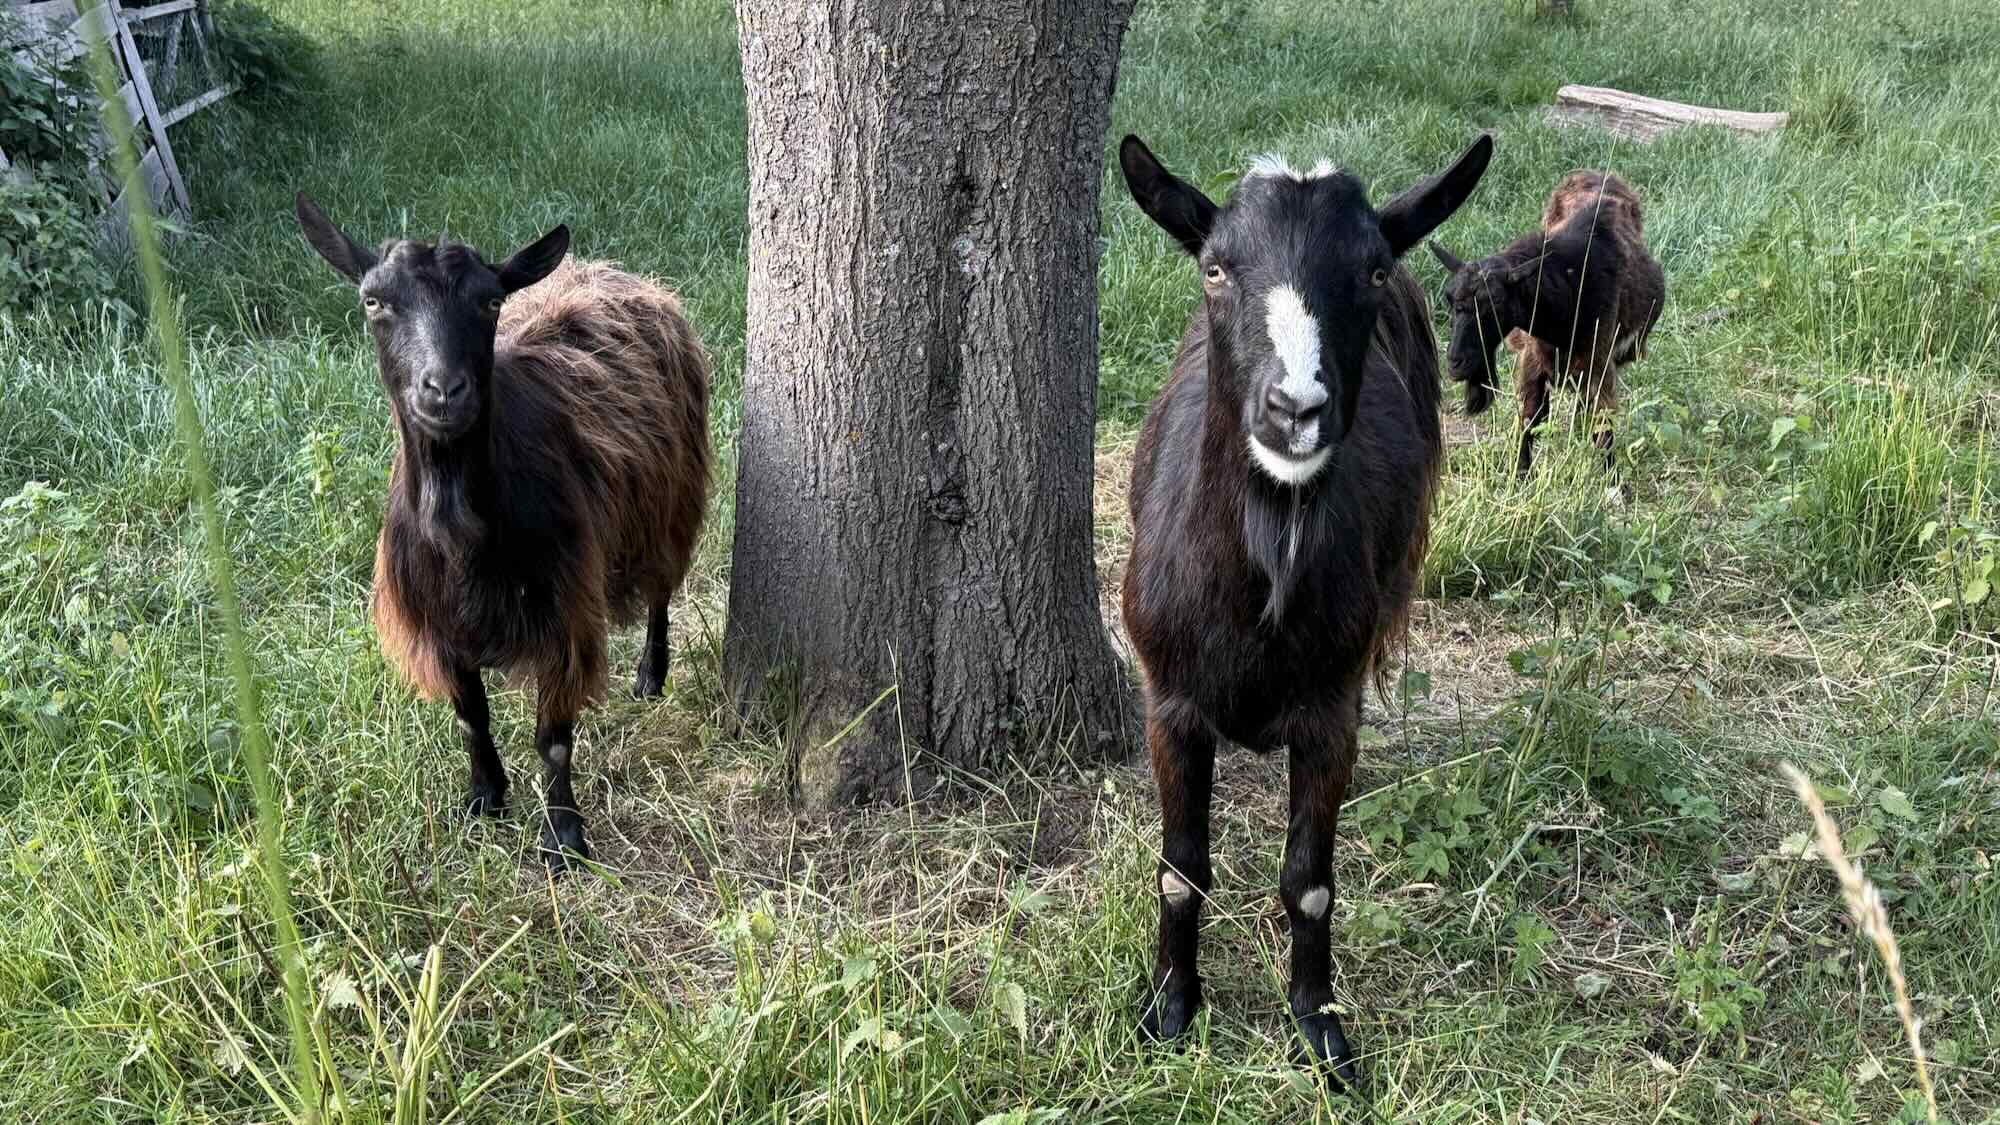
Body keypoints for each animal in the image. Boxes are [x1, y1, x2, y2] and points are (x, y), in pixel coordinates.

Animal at [294, 194, 710, 869]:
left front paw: (564, 837)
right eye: (373, 300)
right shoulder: (437, 626)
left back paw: (651, 675)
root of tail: (612, 272)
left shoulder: (564, 612)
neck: (459, 536)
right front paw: (485, 799)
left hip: (673, 500)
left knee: (661, 590)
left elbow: (554, 739)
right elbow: (473, 719)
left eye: (489, 301)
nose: (444, 390)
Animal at [1116, 133, 1493, 1084]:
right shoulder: (1168, 701)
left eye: (1369, 268)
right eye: (1214, 268)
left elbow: (1310, 880)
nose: (1296, 410)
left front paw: (1320, 1026)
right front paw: (1170, 1009)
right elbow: (1181, 867)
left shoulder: (1330, 713)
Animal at [1431, 170, 1663, 478]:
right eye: (1449, 298)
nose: (1456, 363)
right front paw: (1521, 475)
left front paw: (1610, 480)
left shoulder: (1599, 365)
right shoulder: (1532, 363)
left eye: (1495, 303)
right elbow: (1531, 419)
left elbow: (1603, 426)